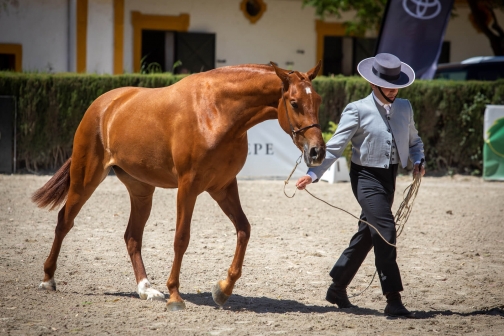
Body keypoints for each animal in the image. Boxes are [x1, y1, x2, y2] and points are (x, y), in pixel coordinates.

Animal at [34, 61, 326, 312]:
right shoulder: (188, 187)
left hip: (142, 191)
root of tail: (103, 105)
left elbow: (244, 230)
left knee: (132, 236)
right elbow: (181, 239)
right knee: (64, 221)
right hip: (86, 179)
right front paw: (175, 296)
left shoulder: (223, 187)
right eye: (294, 102)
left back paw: (146, 289)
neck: (216, 112)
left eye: (318, 100)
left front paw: (223, 289)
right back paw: (48, 279)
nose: (317, 152)